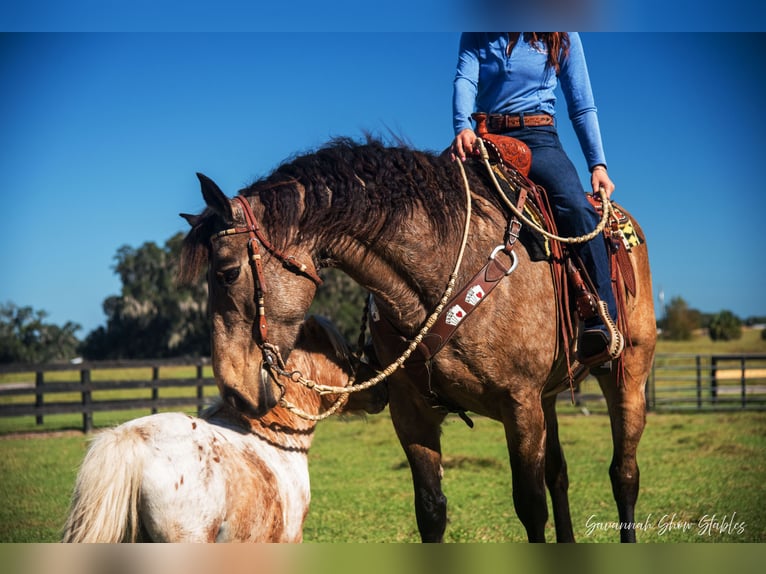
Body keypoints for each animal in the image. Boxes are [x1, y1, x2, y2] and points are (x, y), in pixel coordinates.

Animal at [180, 137, 660, 544]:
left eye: (228, 272)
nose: (234, 390)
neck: (450, 269)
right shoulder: (413, 413)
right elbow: (431, 511)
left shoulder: (520, 405)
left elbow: (530, 506)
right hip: (549, 398)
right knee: (559, 475)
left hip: (627, 377)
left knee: (624, 474)